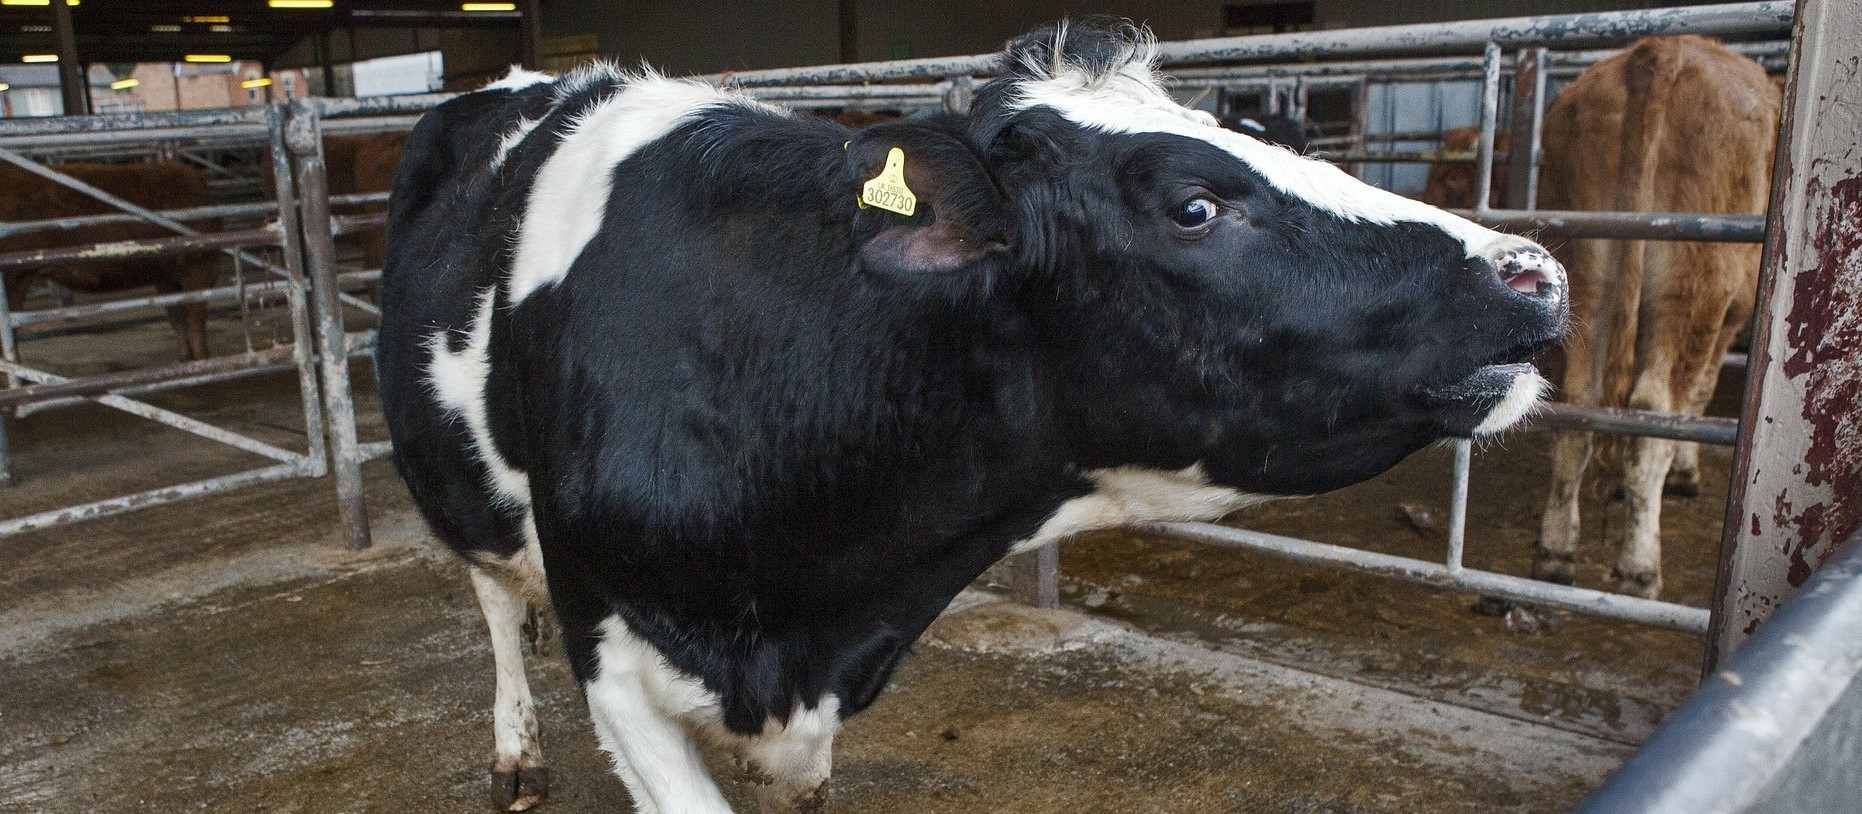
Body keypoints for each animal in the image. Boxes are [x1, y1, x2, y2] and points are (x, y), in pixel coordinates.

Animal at [2, 162, 217, 357]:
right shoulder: (199, 266)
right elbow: (196, 322)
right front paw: (202, 361)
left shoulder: (167, 277)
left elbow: (178, 319)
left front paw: (185, 360)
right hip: (14, 278)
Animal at [1534, 34, 1780, 596]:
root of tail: (1660, 52)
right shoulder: (1731, 314)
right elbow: (1702, 392)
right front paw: (1687, 473)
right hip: (1693, 284)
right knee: (1653, 411)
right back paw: (1639, 566)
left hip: (1586, 274)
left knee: (1579, 405)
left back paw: (1555, 552)